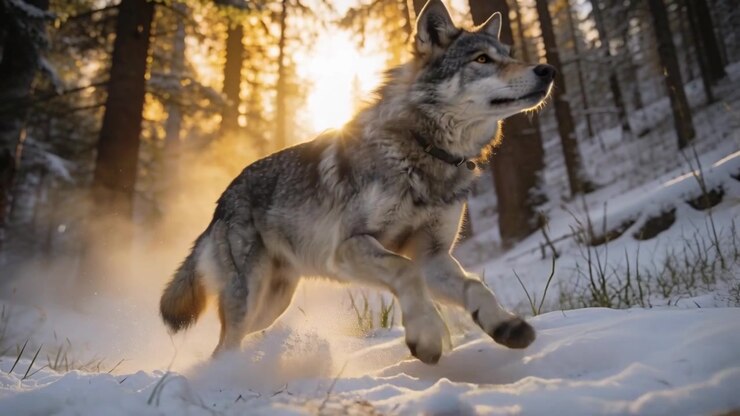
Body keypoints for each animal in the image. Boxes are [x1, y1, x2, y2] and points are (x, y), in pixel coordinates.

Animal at [160, 0, 555, 364]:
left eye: (508, 55)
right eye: (482, 59)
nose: (547, 69)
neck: (421, 149)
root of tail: (221, 201)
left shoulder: (433, 256)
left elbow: (475, 285)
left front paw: (506, 326)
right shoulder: (349, 249)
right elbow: (405, 271)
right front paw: (426, 337)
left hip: (274, 303)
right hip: (252, 296)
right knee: (223, 347)